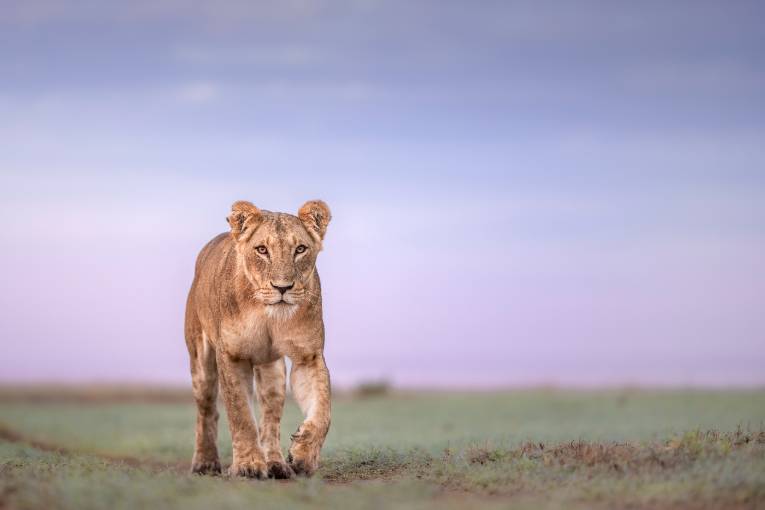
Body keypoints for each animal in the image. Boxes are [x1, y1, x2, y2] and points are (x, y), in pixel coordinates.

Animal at [184, 199, 332, 479]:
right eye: (262, 250)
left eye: (300, 249)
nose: (282, 288)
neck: (268, 315)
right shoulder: (231, 356)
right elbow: (240, 414)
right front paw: (248, 465)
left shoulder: (308, 356)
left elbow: (323, 411)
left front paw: (303, 454)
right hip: (200, 360)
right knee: (207, 409)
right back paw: (205, 462)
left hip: (271, 369)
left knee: (270, 417)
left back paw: (275, 463)